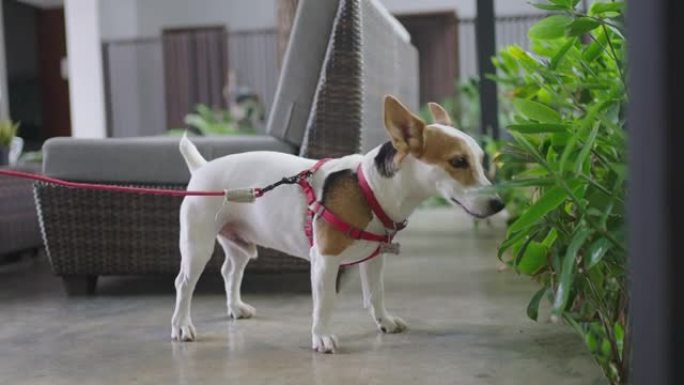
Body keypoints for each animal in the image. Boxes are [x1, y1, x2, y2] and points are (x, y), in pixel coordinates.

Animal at [171, 95, 502, 352]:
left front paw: (384, 321)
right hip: (197, 248)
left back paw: (235, 308)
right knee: (184, 284)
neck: (369, 188)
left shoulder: (374, 259)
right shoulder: (325, 261)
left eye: (480, 158)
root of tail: (202, 169)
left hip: (240, 246)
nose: (499, 204)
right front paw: (322, 336)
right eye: (458, 162)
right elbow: (325, 302)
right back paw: (182, 326)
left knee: (230, 271)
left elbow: (376, 294)